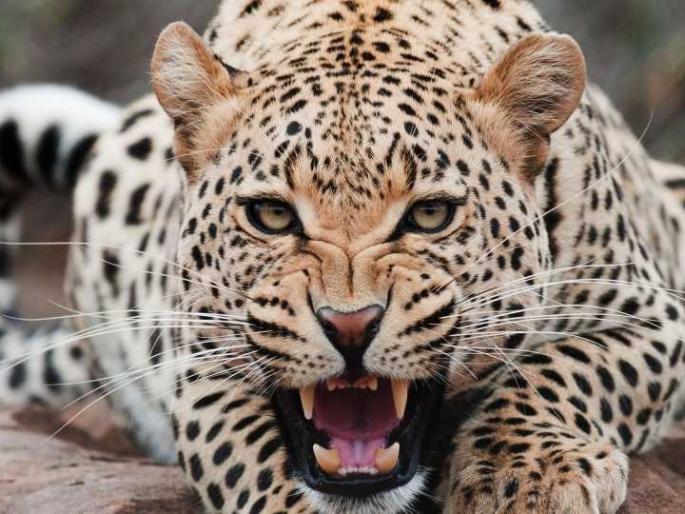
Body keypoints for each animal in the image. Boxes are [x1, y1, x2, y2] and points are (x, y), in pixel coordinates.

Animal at [1, 1, 685, 513]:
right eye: (272, 215)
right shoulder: (201, 370)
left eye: (430, 216)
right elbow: (253, 467)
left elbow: (561, 368)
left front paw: (527, 477)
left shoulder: (653, 315)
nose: (350, 325)